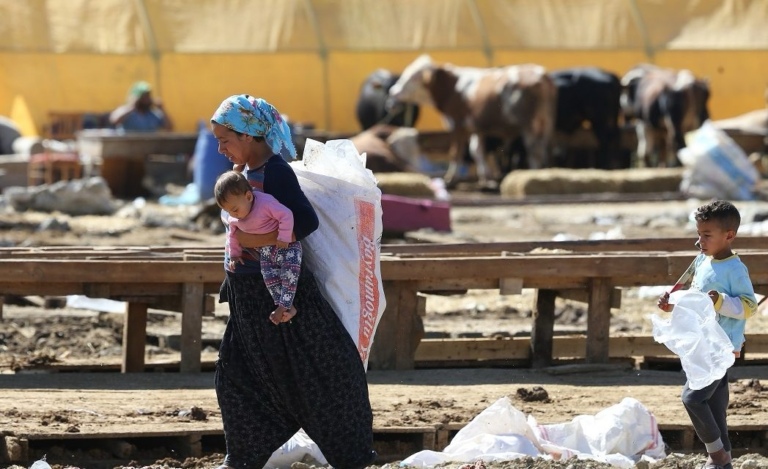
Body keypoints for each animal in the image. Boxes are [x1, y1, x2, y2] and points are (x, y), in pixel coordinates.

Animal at [388, 54, 556, 186]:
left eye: (413, 77)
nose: (393, 91)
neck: (452, 87)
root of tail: (542, 75)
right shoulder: (476, 127)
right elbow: (476, 151)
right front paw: (485, 178)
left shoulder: (457, 124)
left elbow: (456, 152)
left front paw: (451, 178)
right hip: (546, 122)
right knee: (542, 149)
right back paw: (542, 173)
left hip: (529, 125)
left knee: (533, 150)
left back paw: (533, 174)